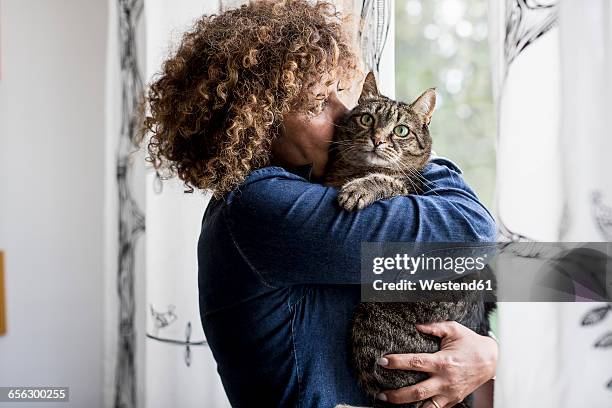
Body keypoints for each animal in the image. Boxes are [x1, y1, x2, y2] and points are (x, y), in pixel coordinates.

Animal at [326, 73, 492, 408]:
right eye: (367, 119)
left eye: (401, 130)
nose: (378, 139)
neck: (351, 170)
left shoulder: (406, 189)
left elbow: (388, 180)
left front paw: (358, 189)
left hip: (372, 321)